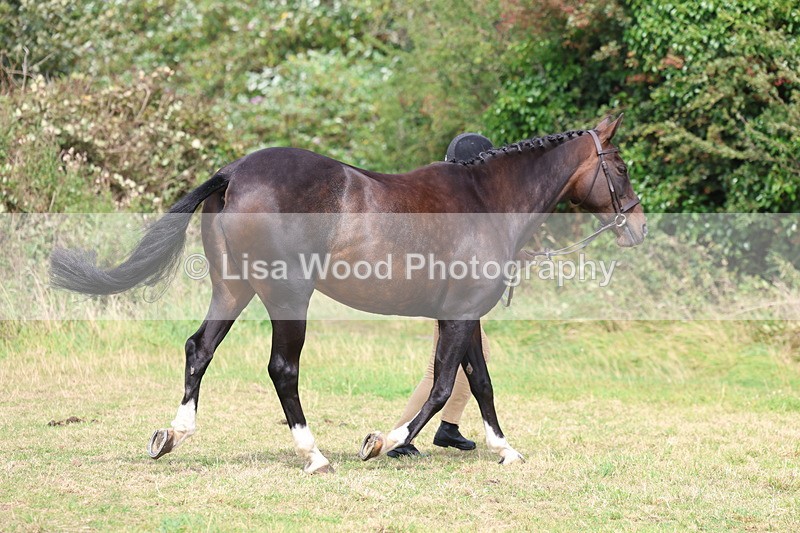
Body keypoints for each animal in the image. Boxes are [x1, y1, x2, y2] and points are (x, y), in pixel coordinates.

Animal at [50, 115, 646, 474]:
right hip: (287, 297)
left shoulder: (463, 315)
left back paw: (174, 434)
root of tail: (233, 174)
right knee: (282, 369)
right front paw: (383, 441)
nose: (637, 226)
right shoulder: (459, 315)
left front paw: (505, 449)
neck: (485, 200)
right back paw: (313, 455)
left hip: (233, 290)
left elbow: (478, 382)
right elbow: (443, 386)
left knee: (200, 349)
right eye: (618, 165)